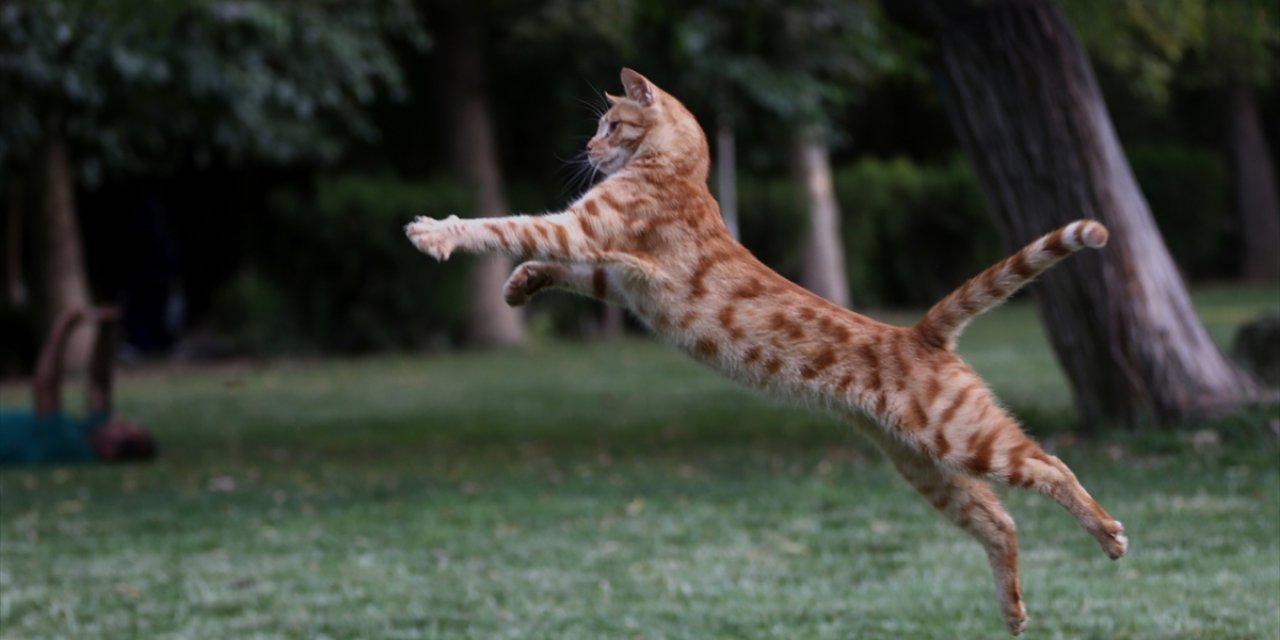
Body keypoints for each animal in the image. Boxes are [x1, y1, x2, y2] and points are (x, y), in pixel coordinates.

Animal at [404, 68, 1126, 634]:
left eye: (611, 124)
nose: (587, 146)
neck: (681, 172)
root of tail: (917, 332)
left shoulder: (585, 230)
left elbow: (507, 227)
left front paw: (436, 232)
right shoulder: (615, 275)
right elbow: (557, 267)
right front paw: (520, 284)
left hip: (962, 438)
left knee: (1052, 464)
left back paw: (1108, 533)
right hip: (926, 470)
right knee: (1001, 523)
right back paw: (1013, 612)